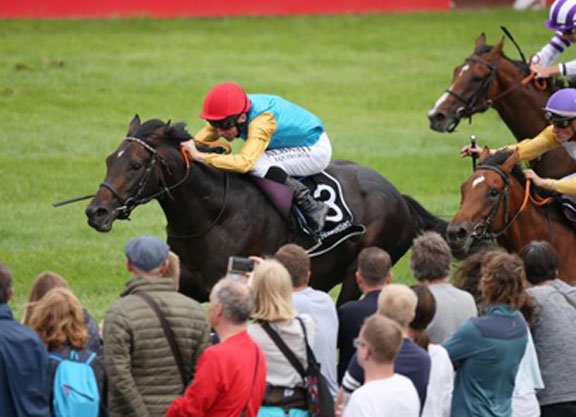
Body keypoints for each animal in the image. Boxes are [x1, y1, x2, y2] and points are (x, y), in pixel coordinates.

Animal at [85, 115, 448, 305]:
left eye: (135, 165)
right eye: (109, 160)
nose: (96, 212)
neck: (213, 216)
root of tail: (399, 196)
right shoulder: (185, 287)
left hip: (358, 273)